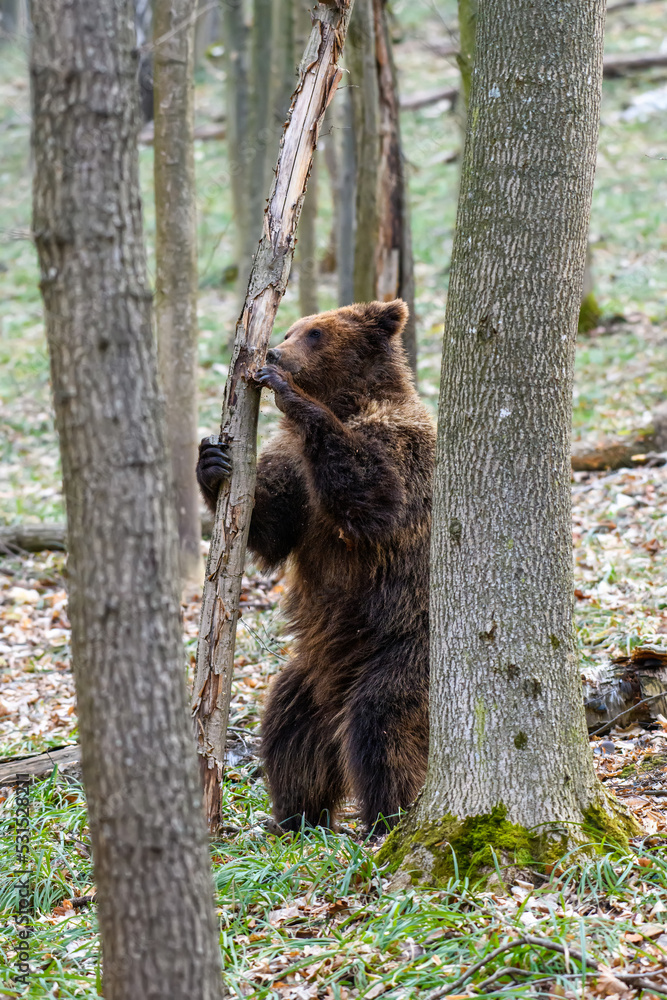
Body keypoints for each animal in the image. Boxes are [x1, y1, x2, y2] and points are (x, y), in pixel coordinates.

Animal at [197, 299, 435, 833]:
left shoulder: (401, 447)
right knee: (291, 727)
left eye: (316, 334)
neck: (348, 400)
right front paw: (211, 460)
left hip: (405, 646)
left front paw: (290, 393)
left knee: (383, 723)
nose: (273, 353)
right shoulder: (293, 473)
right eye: (291, 328)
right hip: (311, 672)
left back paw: (387, 816)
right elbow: (271, 525)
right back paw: (295, 813)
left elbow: (373, 496)